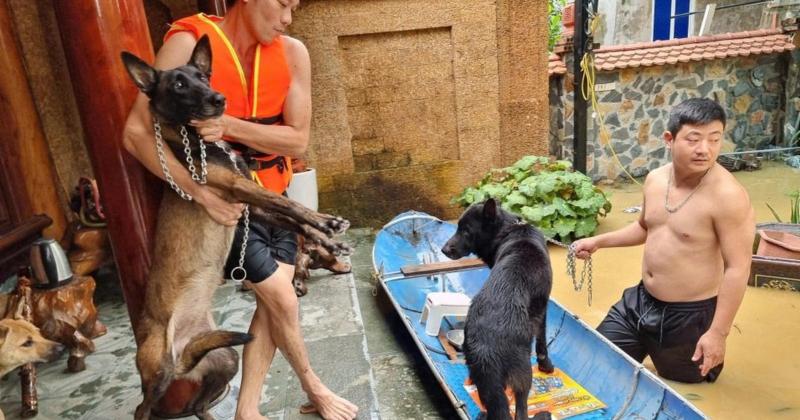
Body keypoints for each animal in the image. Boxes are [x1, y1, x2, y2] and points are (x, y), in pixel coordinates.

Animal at [440, 199, 552, 418]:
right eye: (458, 228)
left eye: (466, 231)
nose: (443, 250)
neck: (509, 230)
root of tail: (487, 347)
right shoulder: (543, 310)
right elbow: (542, 343)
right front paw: (546, 366)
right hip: (523, 376)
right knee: (521, 411)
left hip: (486, 380)